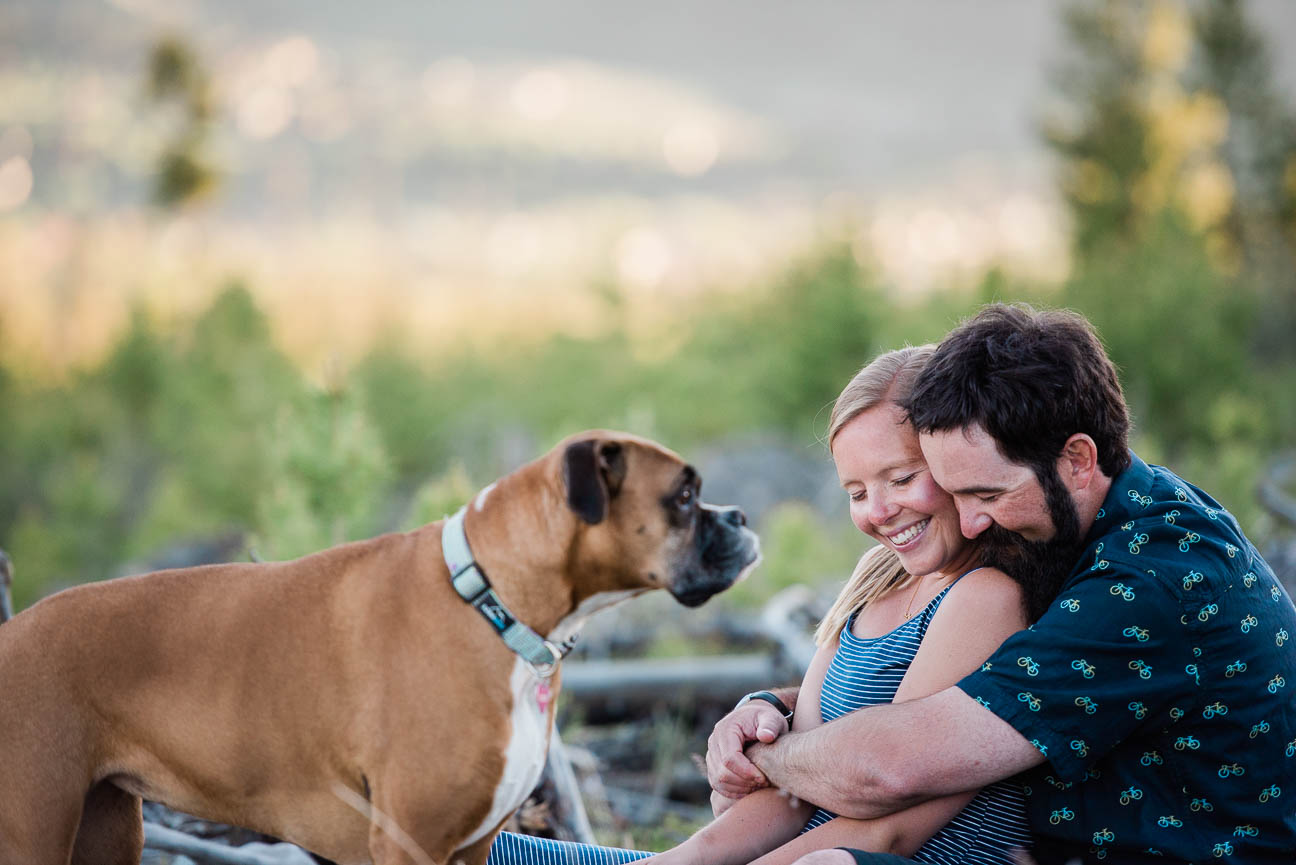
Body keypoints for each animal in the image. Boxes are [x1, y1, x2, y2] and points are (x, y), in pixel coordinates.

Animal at [0, 430, 756, 865]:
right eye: (683, 496)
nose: (741, 515)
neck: (492, 600)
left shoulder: (473, 847)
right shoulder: (409, 841)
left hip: (106, 832)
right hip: (34, 833)